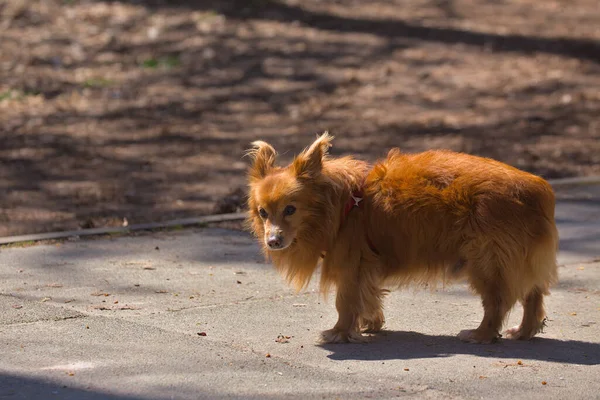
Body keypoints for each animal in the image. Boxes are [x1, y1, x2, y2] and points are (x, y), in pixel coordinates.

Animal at [244, 132, 556, 344]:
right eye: (263, 212)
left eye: (290, 210)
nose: (273, 241)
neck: (343, 205)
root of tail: (536, 189)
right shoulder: (365, 266)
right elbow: (368, 296)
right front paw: (371, 323)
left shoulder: (351, 265)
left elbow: (345, 301)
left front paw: (340, 332)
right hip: (515, 260)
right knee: (533, 295)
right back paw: (525, 331)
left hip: (487, 262)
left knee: (497, 302)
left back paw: (481, 334)